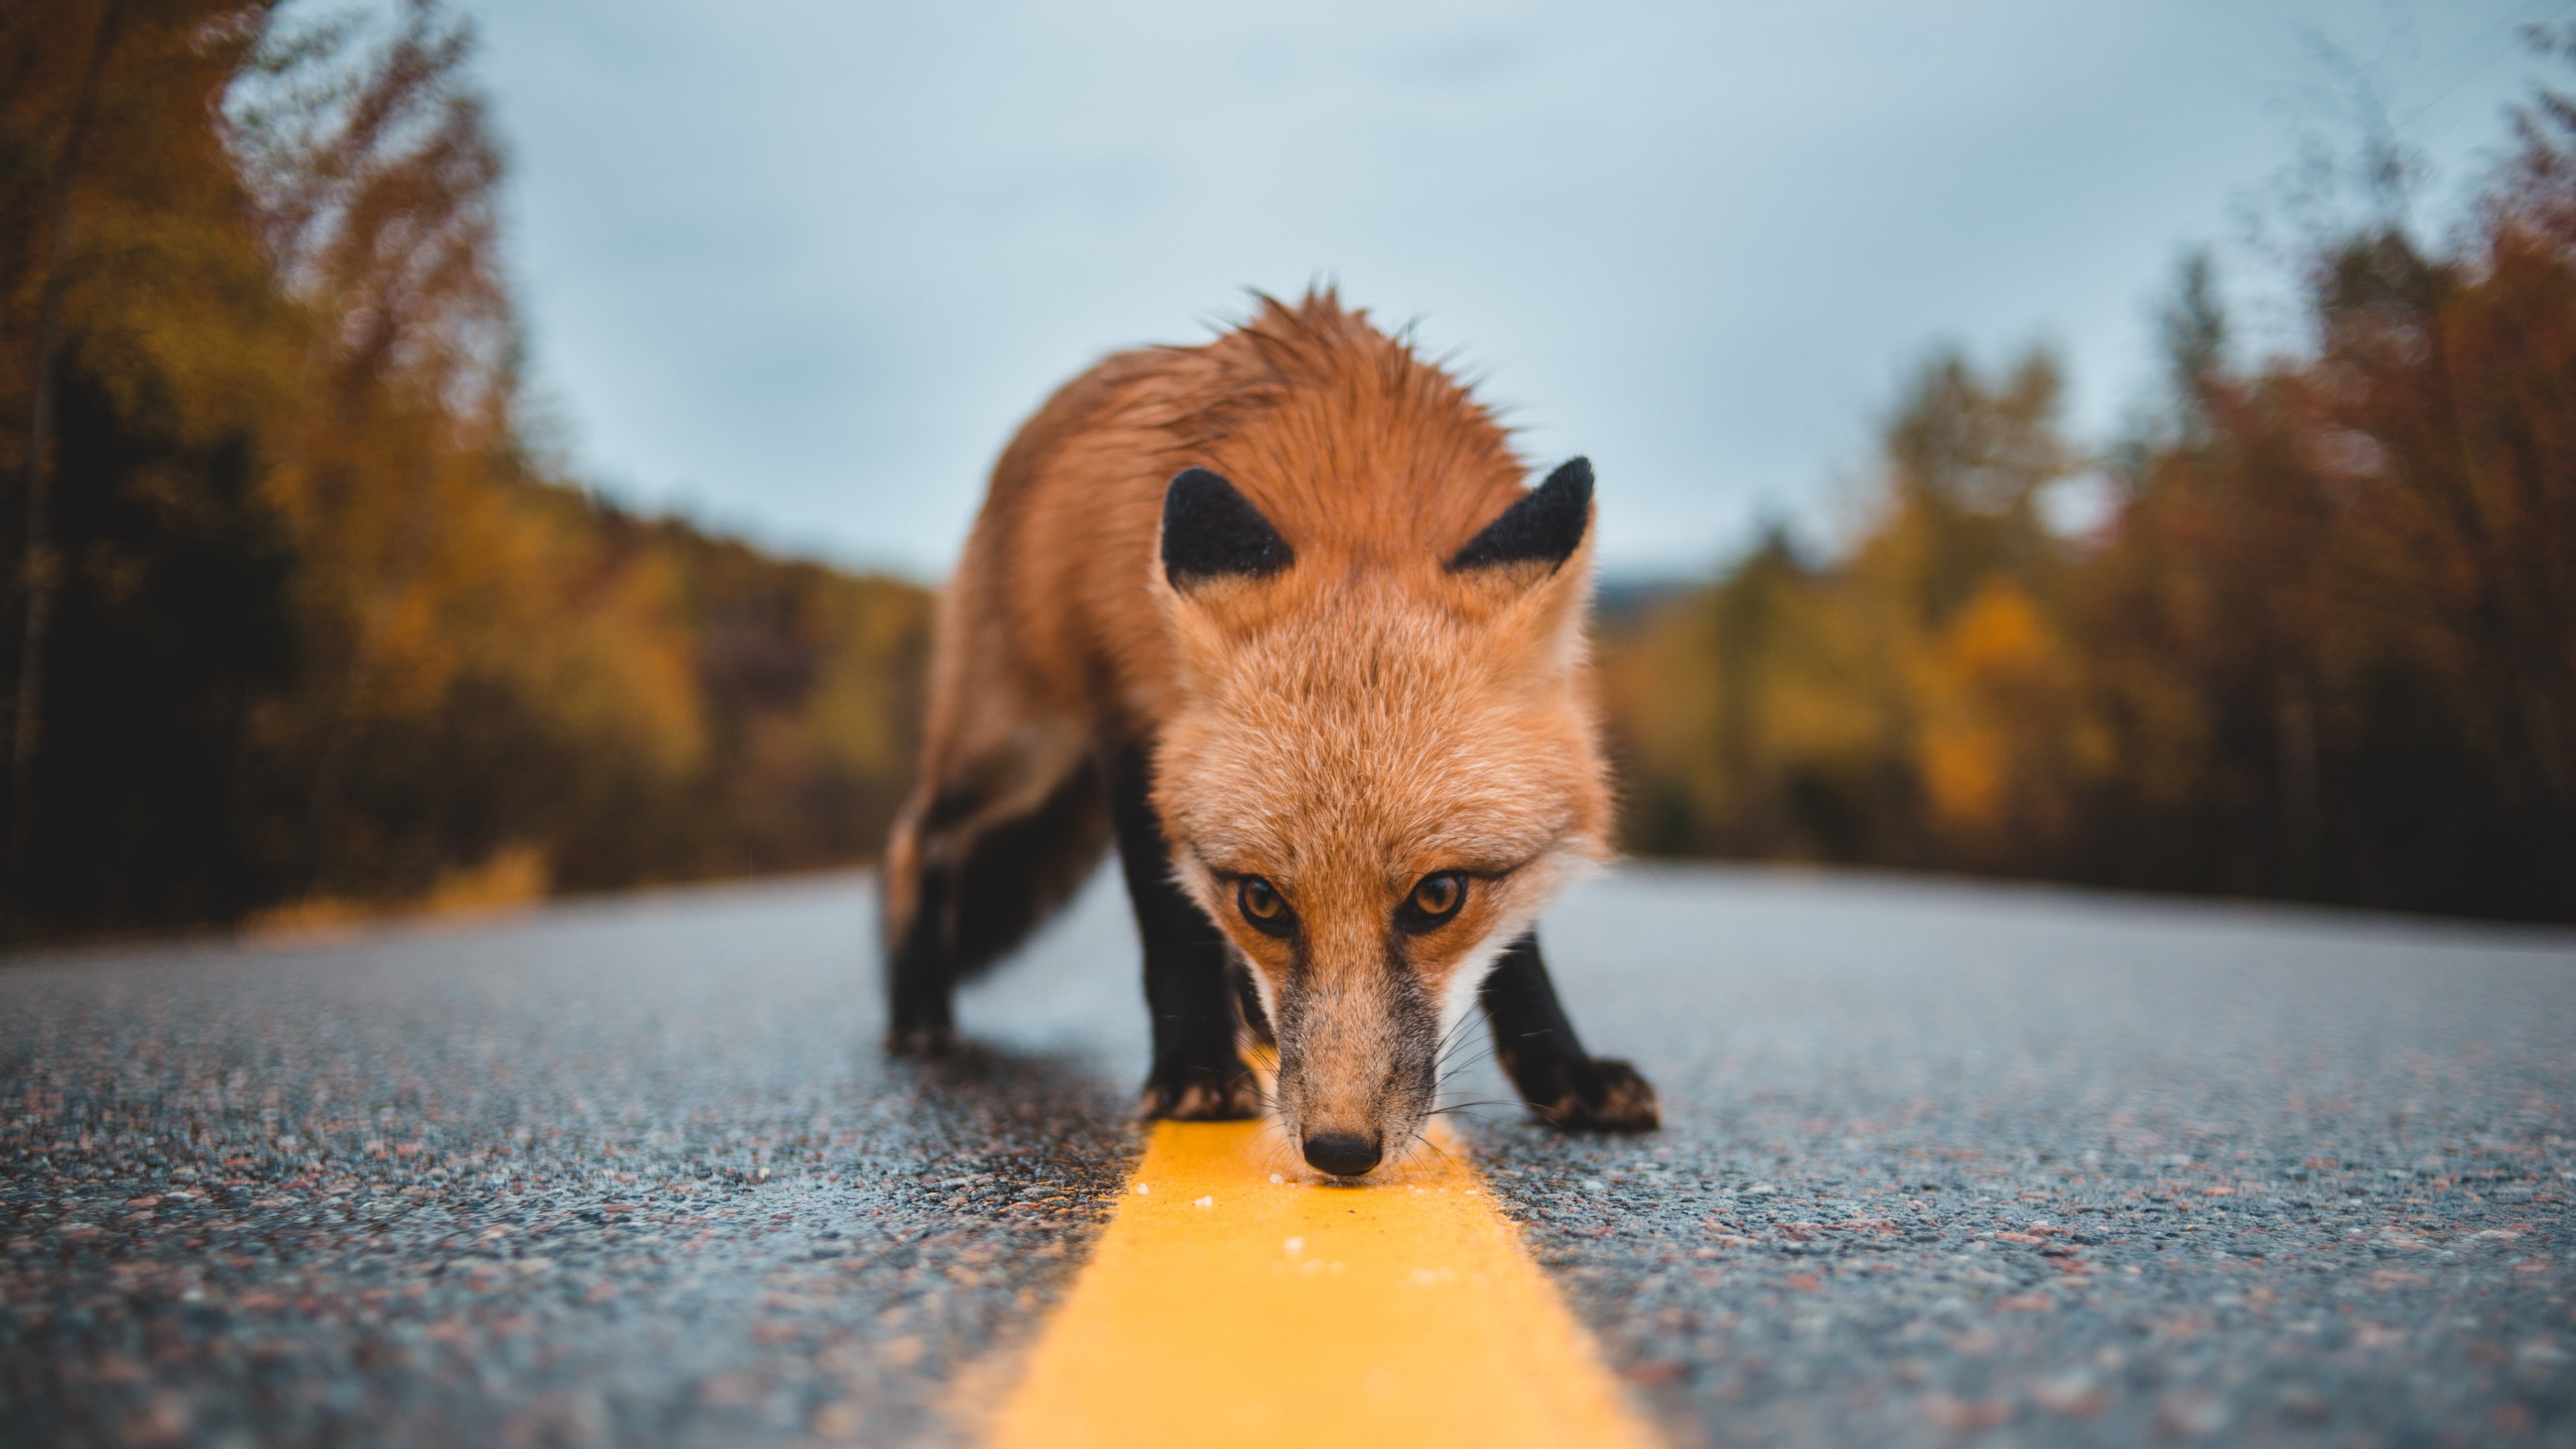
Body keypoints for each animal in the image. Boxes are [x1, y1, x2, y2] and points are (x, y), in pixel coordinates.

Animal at [881, 290, 1648, 1175]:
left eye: (1439, 897)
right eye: (1263, 901)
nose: (1341, 1150)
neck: (1358, 484)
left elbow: (1519, 949)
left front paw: (1563, 1069)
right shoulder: (1135, 728)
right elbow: (1172, 924)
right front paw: (1193, 1071)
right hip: (1017, 748)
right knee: (916, 837)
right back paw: (916, 1008)